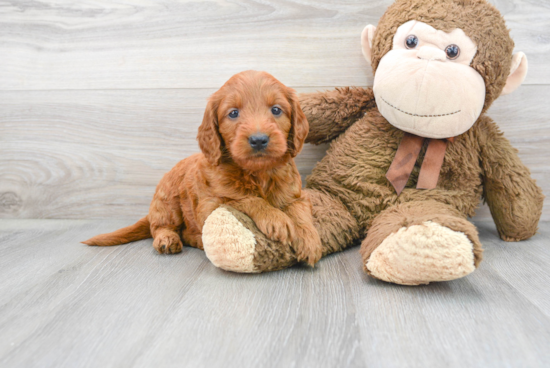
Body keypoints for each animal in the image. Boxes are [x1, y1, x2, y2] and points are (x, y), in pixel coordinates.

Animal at [82, 69, 324, 264]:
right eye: (233, 113)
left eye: (276, 110)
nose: (258, 140)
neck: (257, 173)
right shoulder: (210, 203)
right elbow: (244, 199)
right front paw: (276, 218)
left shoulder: (296, 194)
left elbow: (300, 211)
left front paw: (310, 241)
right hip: (168, 202)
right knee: (161, 227)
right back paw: (169, 239)